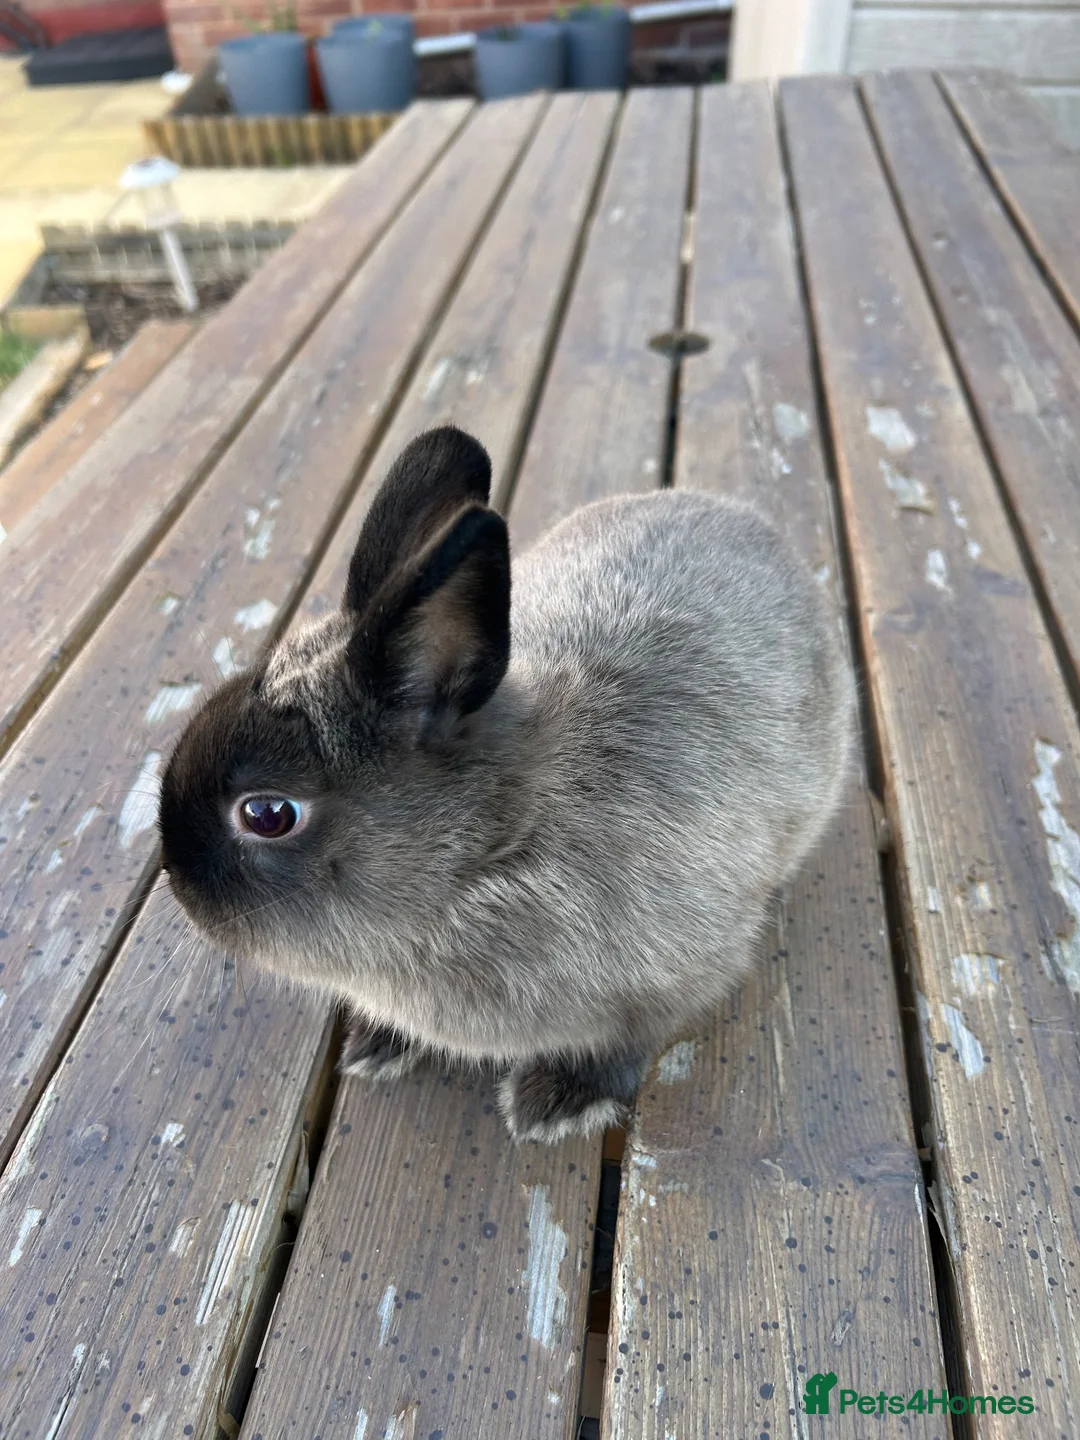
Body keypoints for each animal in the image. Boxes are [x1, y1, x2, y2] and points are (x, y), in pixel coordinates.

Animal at [158, 425, 856, 1143]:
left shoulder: (674, 978)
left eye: (267, 814)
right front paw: (379, 1046)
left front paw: (555, 1105)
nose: (178, 882)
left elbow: (627, 1047)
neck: (492, 850)